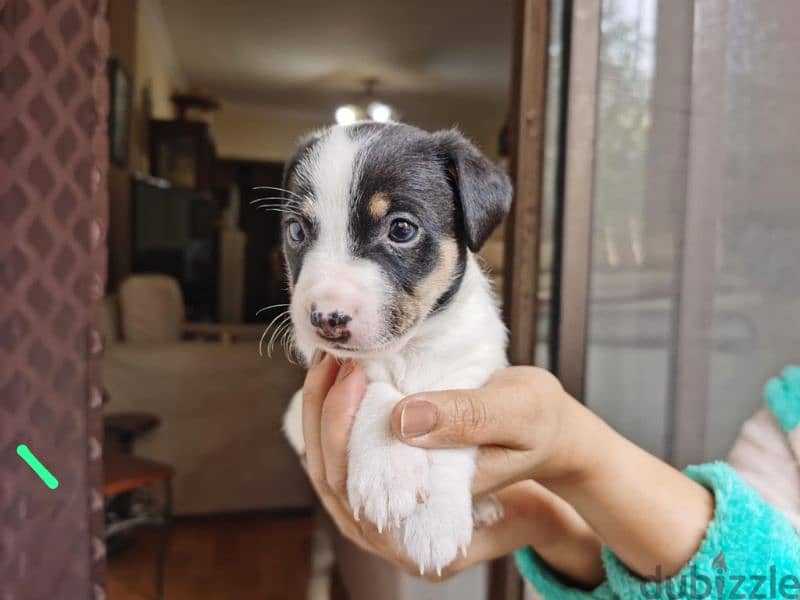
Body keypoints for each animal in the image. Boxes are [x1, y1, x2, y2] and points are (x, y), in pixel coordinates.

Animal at [280, 120, 512, 572]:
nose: (326, 318)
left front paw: (436, 521)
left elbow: (444, 418)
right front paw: (386, 471)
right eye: (296, 231)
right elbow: (378, 388)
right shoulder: (319, 387)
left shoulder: (478, 364)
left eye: (401, 229)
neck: (409, 349)